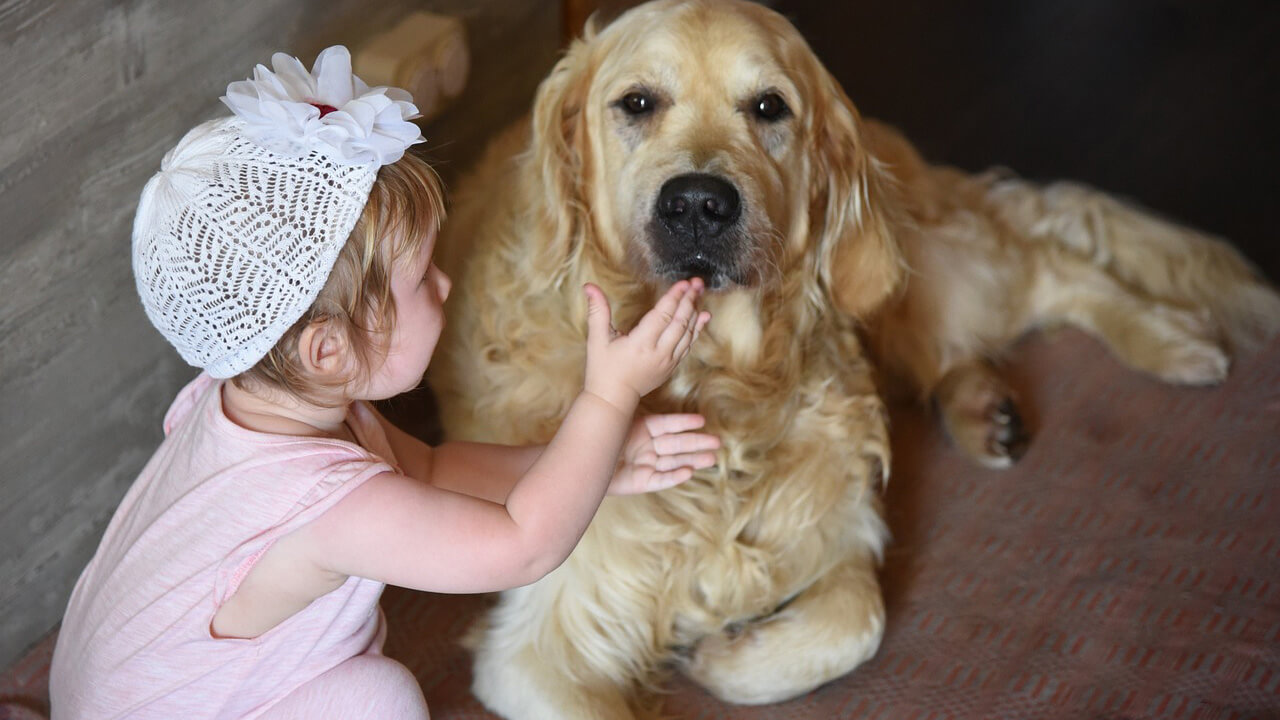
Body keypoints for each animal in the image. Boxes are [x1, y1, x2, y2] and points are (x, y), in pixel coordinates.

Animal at [432, 2, 1280, 712]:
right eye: (636, 103)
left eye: (768, 107)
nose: (700, 204)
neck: (721, 386)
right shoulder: (537, 644)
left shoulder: (838, 532)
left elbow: (858, 620)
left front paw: (723, 658)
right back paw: (986, 410)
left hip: (907, 266)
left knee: (1049, 264)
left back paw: (1170, 340)